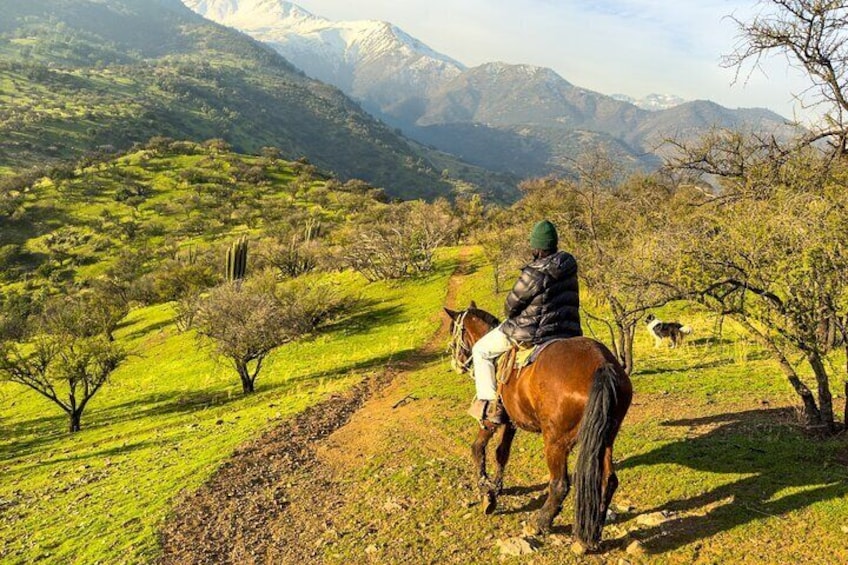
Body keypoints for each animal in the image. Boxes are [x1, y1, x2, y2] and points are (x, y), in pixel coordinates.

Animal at [444, 302, 628, 548]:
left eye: (454, 330)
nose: (456, 364)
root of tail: (602, 363)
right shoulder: (511, 421)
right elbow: (502, 453)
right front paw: (497, 487)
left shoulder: (491, 419)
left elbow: (478, 448)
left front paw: (486, 492)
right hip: (605, 438)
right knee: (608, 480)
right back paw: (593, 532)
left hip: (556, 441)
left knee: (560, 484)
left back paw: (540, 523)